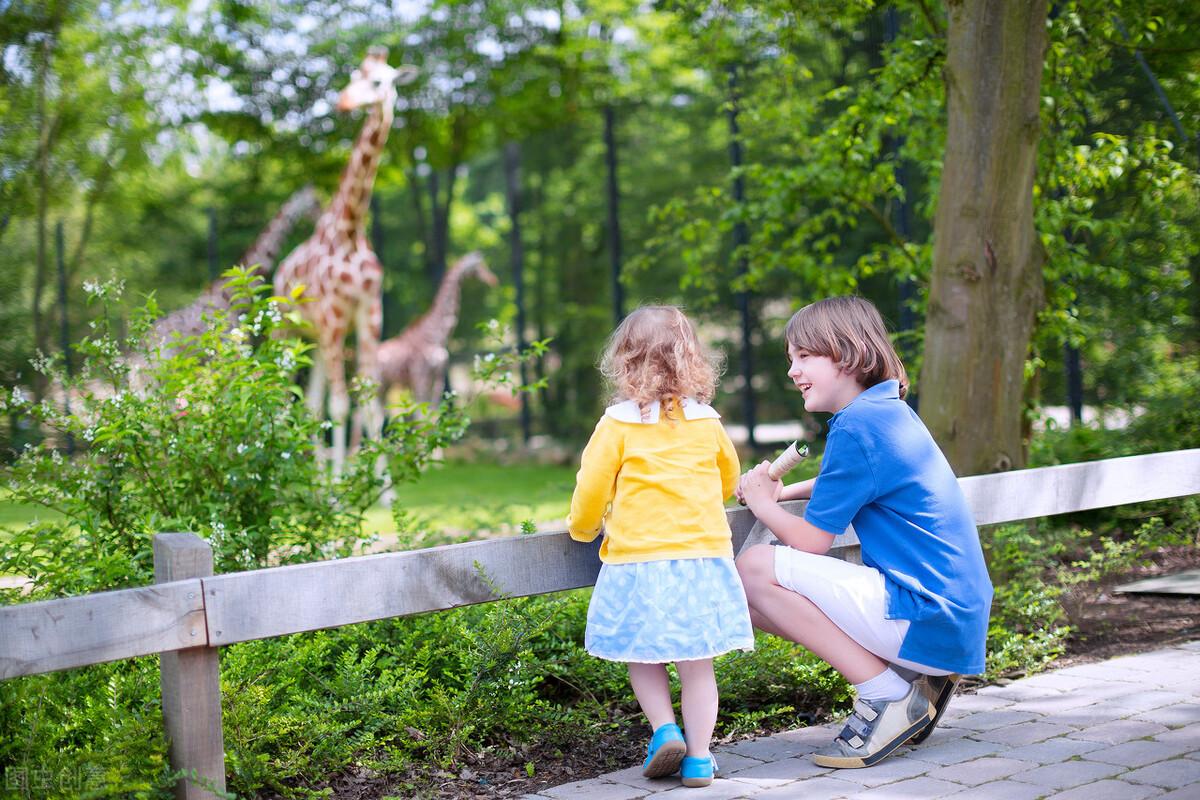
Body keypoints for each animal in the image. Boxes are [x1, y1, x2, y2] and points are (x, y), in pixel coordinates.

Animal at [274, 48, 420, 474]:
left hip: (316, 338)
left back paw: (318, 479)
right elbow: (340, 406)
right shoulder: (335, 316)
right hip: (288, 331)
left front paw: (382, 487)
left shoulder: (369, 315)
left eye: (378, 81)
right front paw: (341, 485)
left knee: (310, 402)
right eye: (353, 76)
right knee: (282, 395)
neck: (350, 231)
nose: (342, 102)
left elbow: (369, 405)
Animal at [379, 253, 501, 407]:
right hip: (378, 380)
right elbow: (421, 408)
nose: (493, 280)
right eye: (478, 267)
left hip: (387, 385)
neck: (437, 337)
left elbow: (434, 408)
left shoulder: (439, 375)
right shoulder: (419, 376)